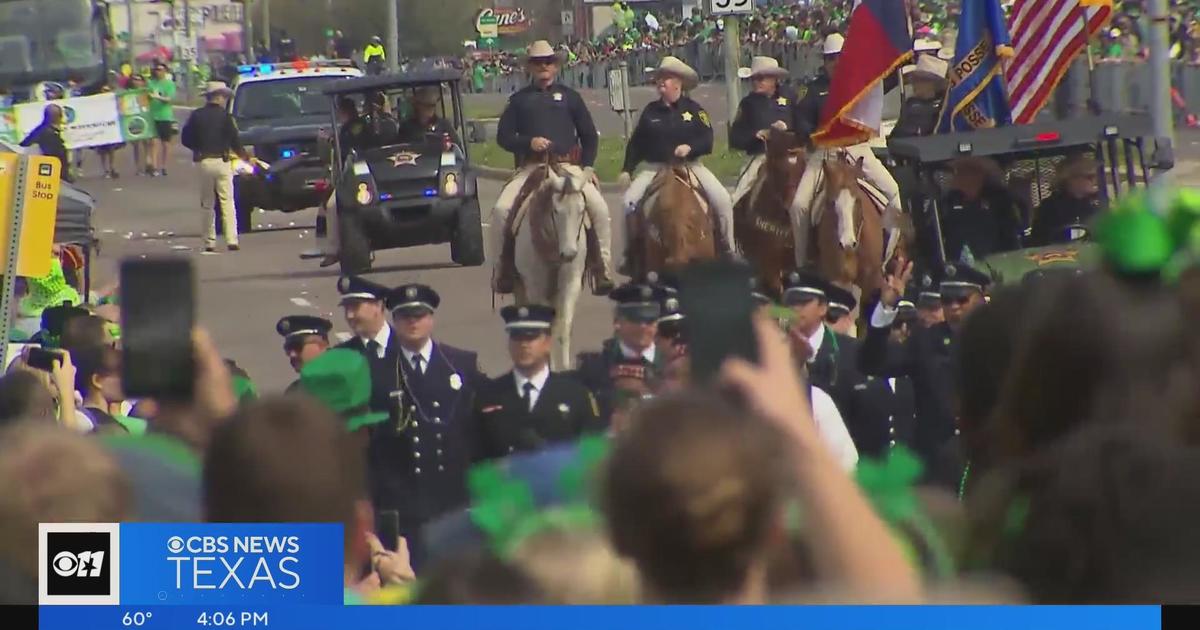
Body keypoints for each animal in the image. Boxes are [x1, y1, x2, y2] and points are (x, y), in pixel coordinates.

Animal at [511, 160, 590, 369]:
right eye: (555, 211)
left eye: (582, 210)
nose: (569, 254)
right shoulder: (535, 288)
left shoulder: (570, 285)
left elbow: (564, 329)